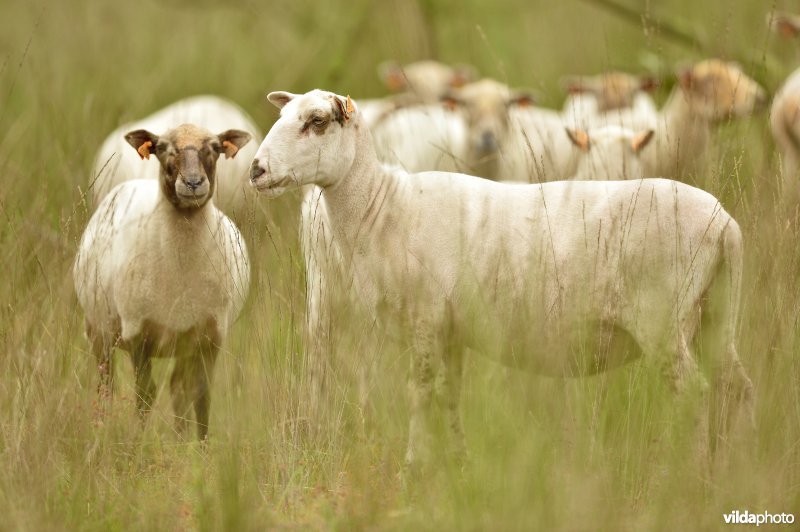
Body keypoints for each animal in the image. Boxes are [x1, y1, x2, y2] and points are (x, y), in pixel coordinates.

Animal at [74, 122, 252, 438]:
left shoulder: (209, 336)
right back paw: (102, 428)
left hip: (182, 344)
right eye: (162, 148)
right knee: (106, 383)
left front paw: (201, 447)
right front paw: (140, 441)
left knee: (179, 389)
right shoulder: (138, 333)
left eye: (215, 148)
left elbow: (200, 395)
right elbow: (145, 394)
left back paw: (180, 439)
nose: (193, 183)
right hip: (98, 330)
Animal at [252, 90, 756, 470]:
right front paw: (459, 462)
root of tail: (726, 224)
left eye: (317, 121)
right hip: (714, 316)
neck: (383, 207)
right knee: (737, 388)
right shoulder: (450, 330)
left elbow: (419, 394)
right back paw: (736, 466)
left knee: (694, 392)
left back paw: (687, 472)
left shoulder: (426, 319)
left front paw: (414, 463)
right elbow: (449, 396)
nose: (256, 169)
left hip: (662, 322)